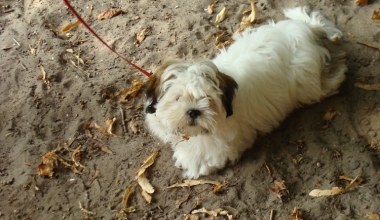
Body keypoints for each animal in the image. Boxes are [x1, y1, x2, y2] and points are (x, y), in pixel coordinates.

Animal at [144, 6, 346, 179]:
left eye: (207, 99)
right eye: (177, 98)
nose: (193, 111)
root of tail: (306, 29)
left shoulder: (225, 141)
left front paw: (191, 162)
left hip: (307, 82)